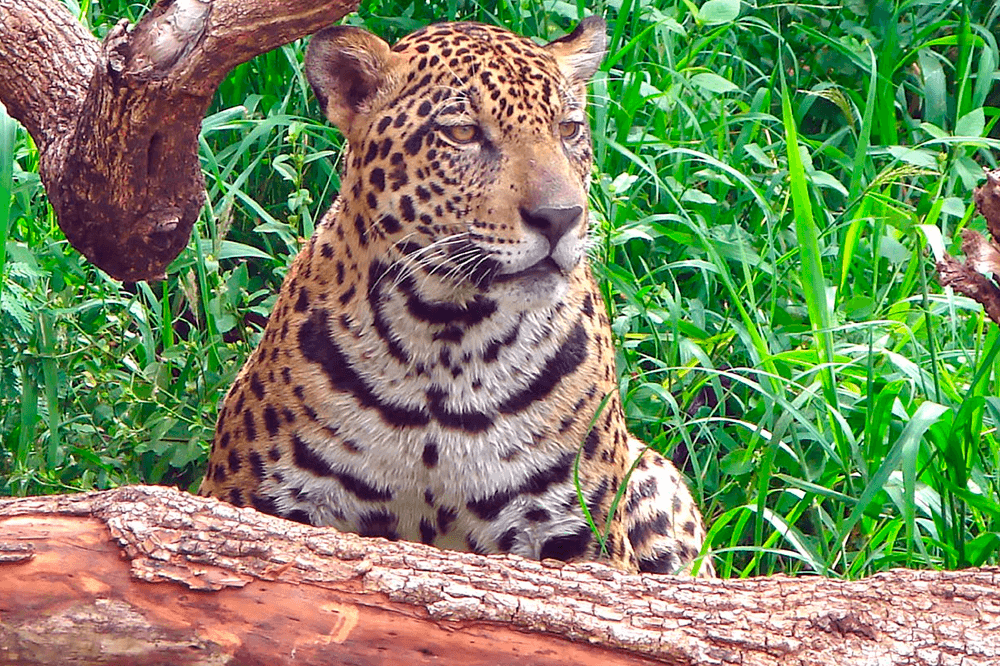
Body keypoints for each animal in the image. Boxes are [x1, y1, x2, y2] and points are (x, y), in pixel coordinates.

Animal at [199, 16, 713, 576]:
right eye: (463, 133)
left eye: (568, 129)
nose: (561, 217)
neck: (447, 339)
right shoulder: (255, 499)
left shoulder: (579, 536)